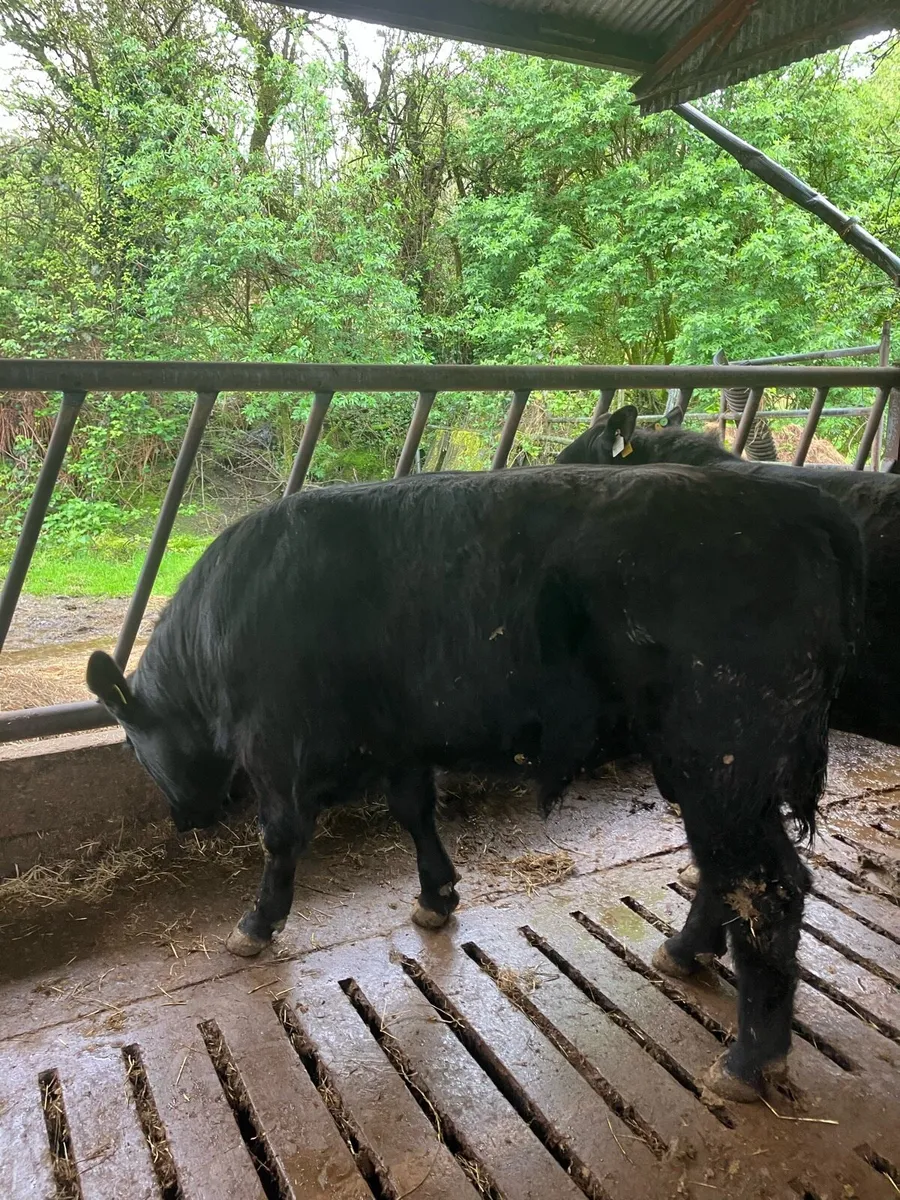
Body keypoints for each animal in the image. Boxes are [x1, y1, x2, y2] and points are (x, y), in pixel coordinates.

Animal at [86, 465, 863, 1102]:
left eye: (131, 743)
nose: (185, 817)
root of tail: (796, 505)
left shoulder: (275, 744)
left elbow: (282, 838)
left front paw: (256, 924)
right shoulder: (399, 737)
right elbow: (413, 809)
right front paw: (436, 896)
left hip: (724, 752)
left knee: (767, 886)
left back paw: (750, 1060)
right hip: (710, 769)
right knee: (726, 872)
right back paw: (683, 953)